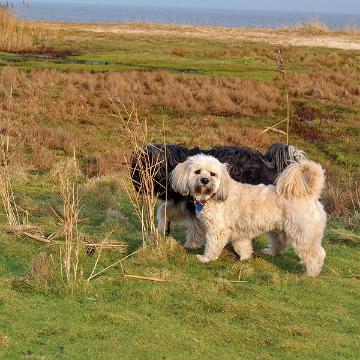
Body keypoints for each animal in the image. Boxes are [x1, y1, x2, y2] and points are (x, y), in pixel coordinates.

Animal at [131, 142, 306, 249]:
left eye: (142, 167)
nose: (136, 182)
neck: (173, 166)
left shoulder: (195, 205)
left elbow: (195, 226)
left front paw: (192, 244)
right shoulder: (183, 201)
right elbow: (163, 210)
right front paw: (164, 228)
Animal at [170, 154, 328, 276]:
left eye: (212, 174)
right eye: (197, 171)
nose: (205, 180)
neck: (214, 196)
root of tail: (310, 194)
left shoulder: (217, 230)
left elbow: (212, 246)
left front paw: (206, 258)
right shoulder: (239, 233)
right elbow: (243, 246)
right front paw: (245, 258)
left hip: (304, 235)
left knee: (316, 254)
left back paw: (311, 272)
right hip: (278, 230)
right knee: (280, 244)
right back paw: (270, 252)